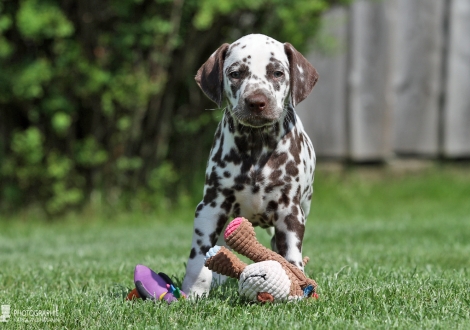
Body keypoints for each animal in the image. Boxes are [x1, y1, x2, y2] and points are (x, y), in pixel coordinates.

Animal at [182, 33, 318, 296]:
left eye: (277, 73)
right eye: (235, 73)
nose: (256, 102)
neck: (256, 145)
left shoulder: (290, 212)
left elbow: (291, 255)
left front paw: (299, 285)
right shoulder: (210, 207)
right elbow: (199, 257)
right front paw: (193, 292)